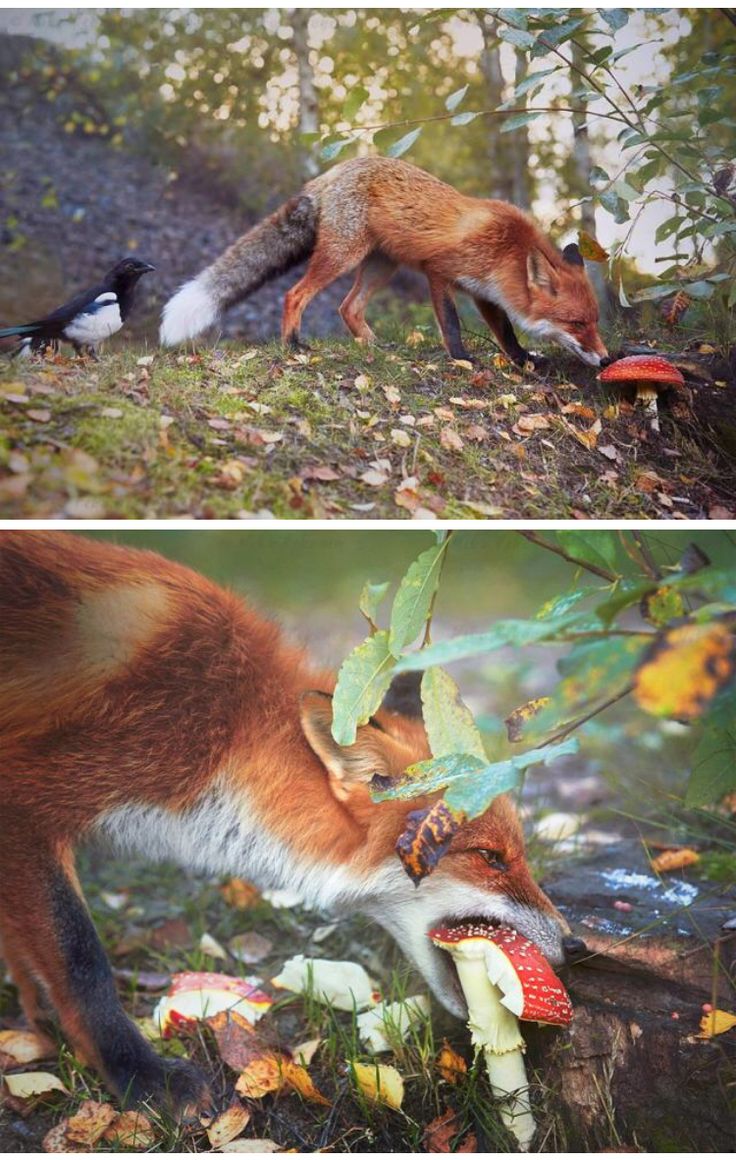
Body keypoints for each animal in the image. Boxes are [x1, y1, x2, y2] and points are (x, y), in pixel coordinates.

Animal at [0, 531, 573, 1113]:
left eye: (516, 854)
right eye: (489, 857)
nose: (577, 947)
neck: (225, 729)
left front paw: (42, 1020)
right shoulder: (25, 800)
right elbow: (80, 960)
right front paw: (139, 1074)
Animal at [160, 155, 608, 366]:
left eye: (594, 321)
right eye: (576, 323)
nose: (606, 358)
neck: (505, 248)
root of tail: (331, 173)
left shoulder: (484, 291)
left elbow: (506, 333)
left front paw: (523, 360)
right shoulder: (439, 271)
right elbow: (451, 323)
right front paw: (462, 358)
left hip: (381, 266)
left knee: (348, 307)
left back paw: (375, 345)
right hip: (343, 256)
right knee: (295, 294)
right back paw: (293, 343)